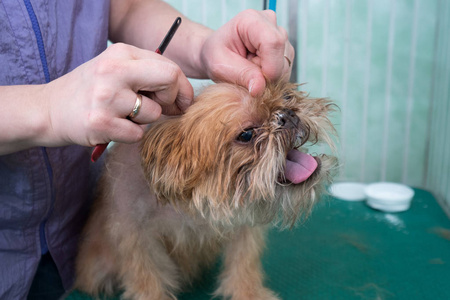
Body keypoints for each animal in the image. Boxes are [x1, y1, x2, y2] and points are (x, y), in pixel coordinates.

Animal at [74, 82, 338, 300]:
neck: (193, 201)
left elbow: (244, 264)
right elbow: (147, 277)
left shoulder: (242, 229)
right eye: (247, 134)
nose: (287, 114)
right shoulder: (137, 237)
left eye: (286, 96)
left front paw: (249, 293)